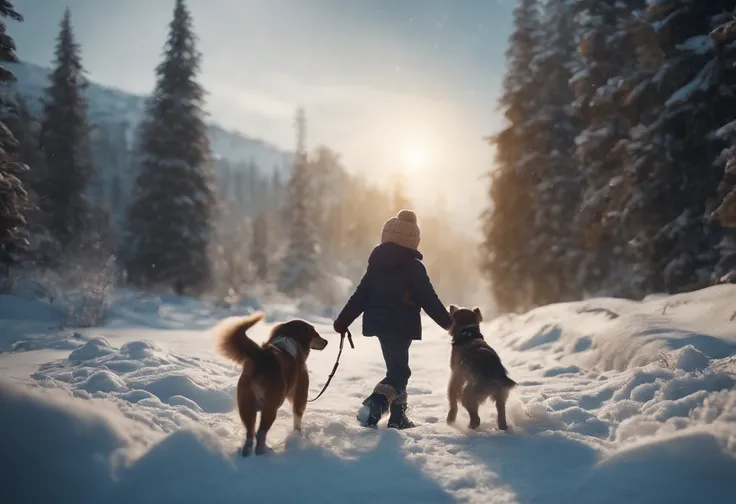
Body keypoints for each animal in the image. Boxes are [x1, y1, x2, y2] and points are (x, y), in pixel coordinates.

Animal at [213, 312, 328, 456]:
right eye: (315, 332)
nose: (326, 341)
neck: (289, 337)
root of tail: (262, 356)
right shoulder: (300, 396)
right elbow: (297, 421)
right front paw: (298, 436)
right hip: (271, 407)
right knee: (261, 433)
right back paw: (262, 452)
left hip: (246, 405)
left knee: (250, 433)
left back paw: (246, 453)